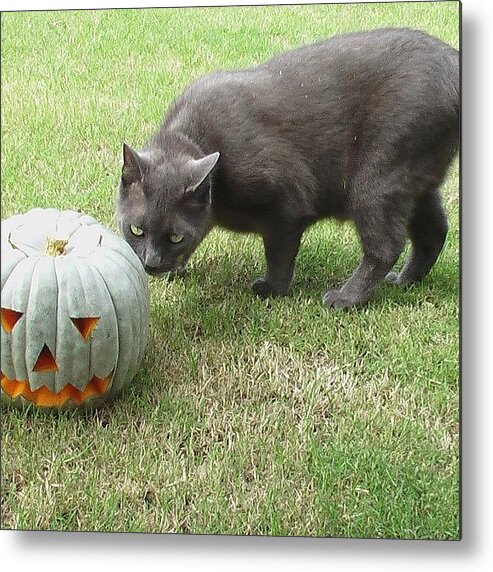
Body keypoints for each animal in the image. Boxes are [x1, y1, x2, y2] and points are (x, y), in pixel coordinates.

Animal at [117, 27, 460, 308]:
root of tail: (453, 61)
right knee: (435, 231)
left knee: (386, 245)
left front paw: (271, 289)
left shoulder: (286, 206)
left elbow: (279, 254)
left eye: (175, 236)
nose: (151, 263)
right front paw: (176, 268)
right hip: (415, 181)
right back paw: (405, 281)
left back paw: (346, 298)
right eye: (136, 230)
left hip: (377, 178)